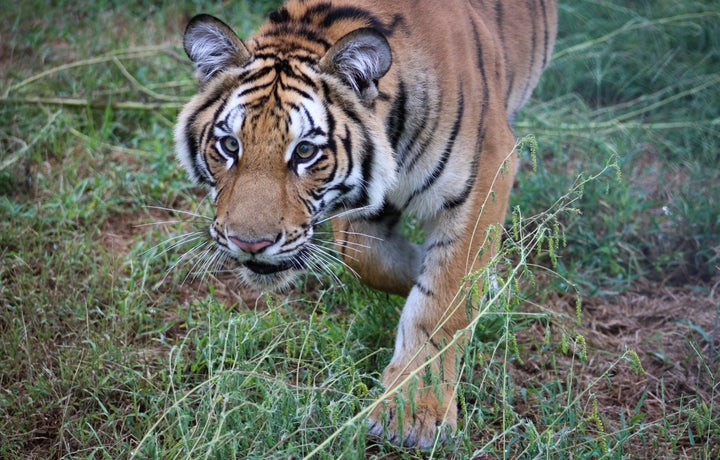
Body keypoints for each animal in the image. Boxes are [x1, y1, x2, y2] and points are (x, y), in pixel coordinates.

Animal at [174, 0, 556, 448]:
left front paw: (414, 411)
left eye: (305, 152)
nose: (249, 243)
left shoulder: (487, 172)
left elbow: (445, 298)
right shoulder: (364, 205)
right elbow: (370, 261)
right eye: (230, 145)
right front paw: (459, 281)